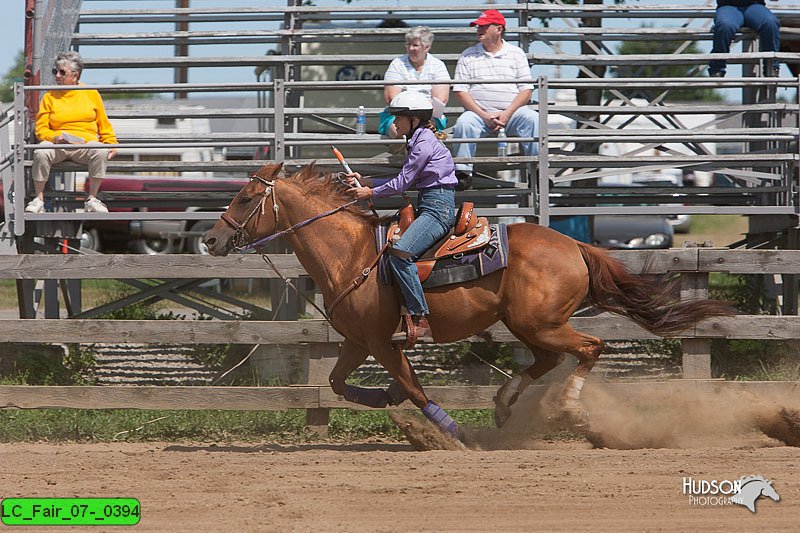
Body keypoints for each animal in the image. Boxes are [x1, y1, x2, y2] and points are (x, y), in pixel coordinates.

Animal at [203, 162, 736, 440]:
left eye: (246, 198)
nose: (210, 240)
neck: (352, 255)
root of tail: (575, 246)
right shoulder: (359, 341)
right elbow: (337, 384)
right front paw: (385, 398)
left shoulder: (381, 341)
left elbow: (416, 390)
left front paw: (448, 431)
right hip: (527, 324)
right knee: (547, 360)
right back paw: (503, 405)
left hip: (541, 323)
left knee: (589, 348)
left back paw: (569, 410)